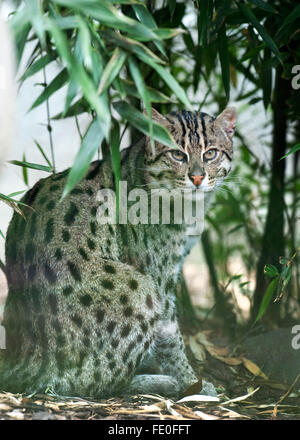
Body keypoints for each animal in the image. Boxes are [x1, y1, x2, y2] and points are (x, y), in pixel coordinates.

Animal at [0, 107, 237, 398]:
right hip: (140, 290)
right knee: (93, 381)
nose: (197, 178)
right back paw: (162, 382)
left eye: (211, 153)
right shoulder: (158, 277)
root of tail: (22, 357)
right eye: (177, 154)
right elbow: (172, 337)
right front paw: (192, 382)